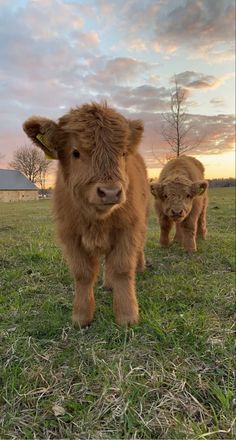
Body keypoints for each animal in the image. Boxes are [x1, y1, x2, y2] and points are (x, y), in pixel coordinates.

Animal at [23, 100, 149, 326]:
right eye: (75, 152)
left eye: (123, 153)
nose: (110, 192)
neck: (96, 219)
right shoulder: (70, 235)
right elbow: (83, 274)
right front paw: (81, 316)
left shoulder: (128, 229)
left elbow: (123, 269)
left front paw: (127, 316)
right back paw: (108, 284)